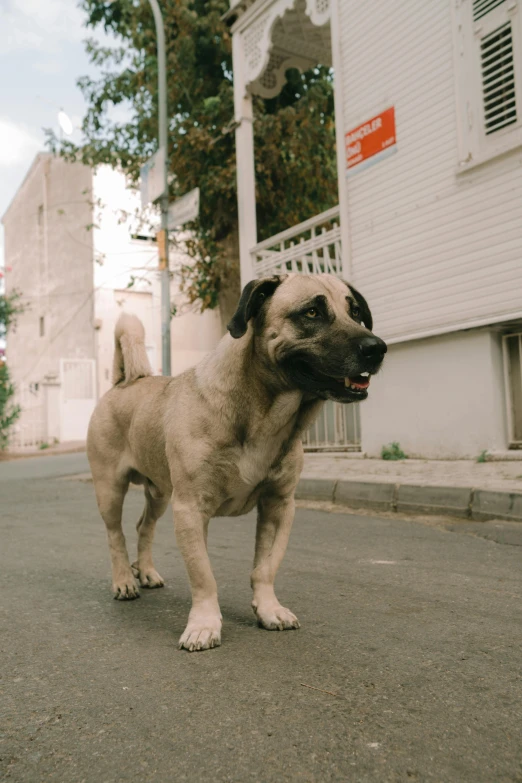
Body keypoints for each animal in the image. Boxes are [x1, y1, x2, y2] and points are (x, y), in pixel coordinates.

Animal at [87, 272, 384, 652]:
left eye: (356, 312)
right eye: (312, 312)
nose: (377, 348)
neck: (264, 413)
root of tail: (125, 382)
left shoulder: (278, 505)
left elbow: (265, 567)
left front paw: (268, 609)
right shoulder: (191, 509)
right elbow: (204, 576)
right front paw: (204, 624)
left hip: (159, 495)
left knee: (144, 527)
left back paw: (147, 571)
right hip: (110, 490)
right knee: (116, 535)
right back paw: (125, 579)